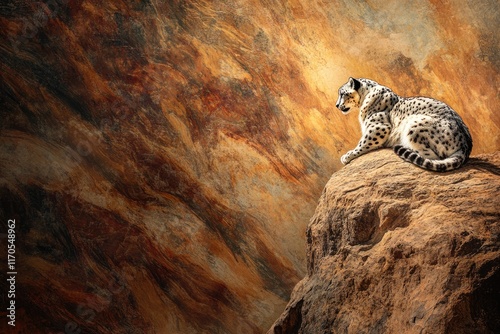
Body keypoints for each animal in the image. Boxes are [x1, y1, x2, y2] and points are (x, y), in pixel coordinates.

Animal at [336, 77, 472, 172]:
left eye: (342, 93)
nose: (337, 105)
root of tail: (466, 144)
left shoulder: (377, 127)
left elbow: (363, 142)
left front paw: (348, 155)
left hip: (414, 124)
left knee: (433, 156)